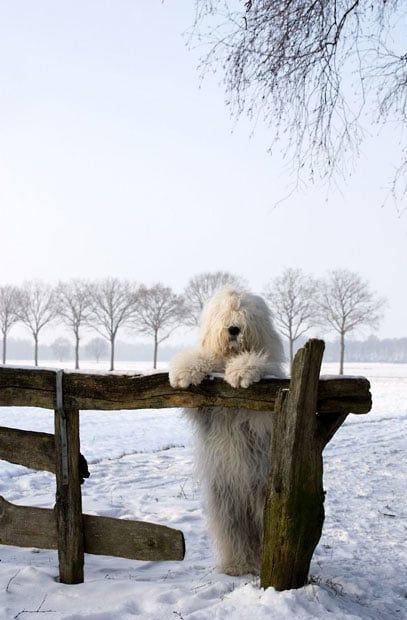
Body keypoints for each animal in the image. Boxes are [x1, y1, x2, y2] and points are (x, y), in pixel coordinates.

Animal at [168, 288, 284, 572]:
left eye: (245, 315)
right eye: (223, 314)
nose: (233, 329)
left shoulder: (266, 403)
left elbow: (261, 364)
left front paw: (242, 371)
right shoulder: (204, 407)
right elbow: (200, 361)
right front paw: (184, 372)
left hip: (263, 494)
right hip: (224, 498)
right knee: (234, 532)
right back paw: (237, 564)